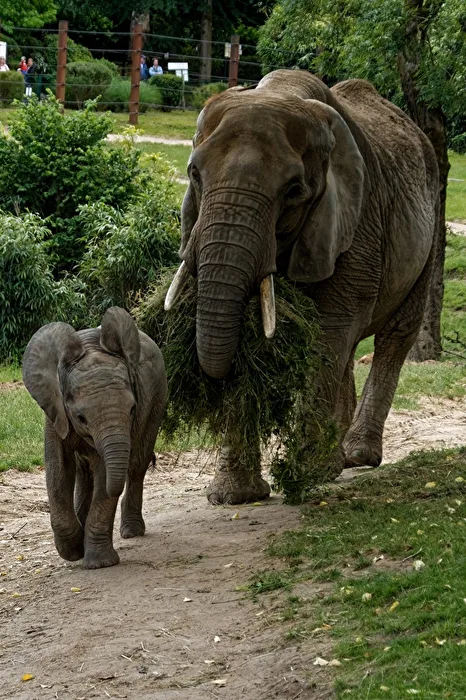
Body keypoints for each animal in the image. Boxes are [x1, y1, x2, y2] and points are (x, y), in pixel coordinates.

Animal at [22, 307, 167, 569]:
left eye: (132, 409)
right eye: (81, 417)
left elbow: (103, 473)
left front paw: (99, 563)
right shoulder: (54, 410)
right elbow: (58, 469)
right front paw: (73, 551)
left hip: (158, 398)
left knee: (136, 464)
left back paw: (131, 532)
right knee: (84, 472)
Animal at [165, 69, 439, 505]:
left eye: (294, 191)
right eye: (193, 174)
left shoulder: (356, 217)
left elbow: (329, 331)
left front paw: (305, 476)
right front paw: (235, 498)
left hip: (429, 228)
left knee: (393, 337)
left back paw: (355, 457)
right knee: (350, 350)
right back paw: (339, 459)